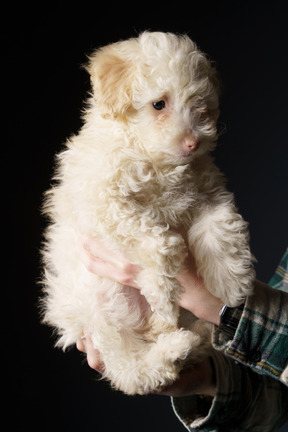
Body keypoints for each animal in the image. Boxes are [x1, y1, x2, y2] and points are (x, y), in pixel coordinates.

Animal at [41, 30, 254, 394]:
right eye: (158, 104)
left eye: (199, 105)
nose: (193, 143)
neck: (156, 161)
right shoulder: (105, 204)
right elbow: (157, 240)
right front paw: (164, 293)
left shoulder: (208, 194)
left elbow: (220, 227)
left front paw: (229, 283)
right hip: (101, 319)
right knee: (133, 370)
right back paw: (172, 348)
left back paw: (185, 337)